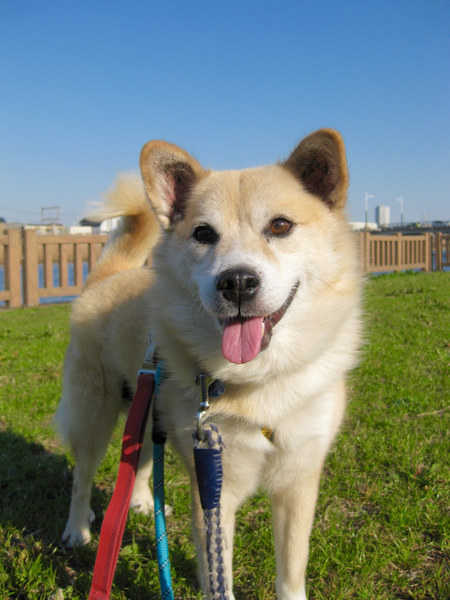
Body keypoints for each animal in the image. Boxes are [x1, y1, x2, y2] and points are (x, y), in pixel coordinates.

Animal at [56, 129, 362, 600]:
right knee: (83, 475)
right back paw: (78, 530)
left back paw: (141, 501)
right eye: (203, 233)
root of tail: (108, 276)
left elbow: (292, 572)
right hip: (95, 414)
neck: (260, 379)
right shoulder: (213, 490)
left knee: (140, 461)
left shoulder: (298, 481)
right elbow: (219, 575)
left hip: (149, 413)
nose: (236, 281)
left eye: (280, 226)